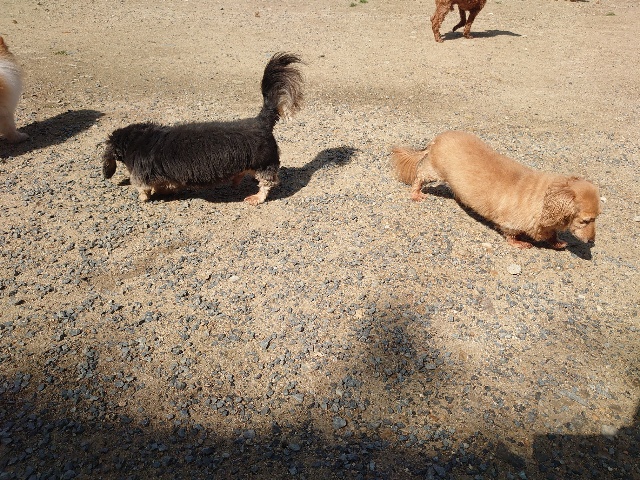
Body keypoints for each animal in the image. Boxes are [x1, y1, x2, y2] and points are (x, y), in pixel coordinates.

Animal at [103, 52, 304, 204]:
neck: (137, 138)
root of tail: (261, 121)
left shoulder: (141, 174)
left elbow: (144, 188)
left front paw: (144, 197)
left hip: (264, 163)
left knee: (267, 183)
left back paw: (256, 197)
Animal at [392, 131, 601, 249]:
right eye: (585, 220)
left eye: (597, 218)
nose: (592, 242)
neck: (544, 199)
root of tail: (436, 139)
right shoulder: (511, 223)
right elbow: (511, 235)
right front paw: (520, 243)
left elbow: (551, 235)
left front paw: (558, 242)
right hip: (434, 171)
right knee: (419, 176)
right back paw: (416, 194)